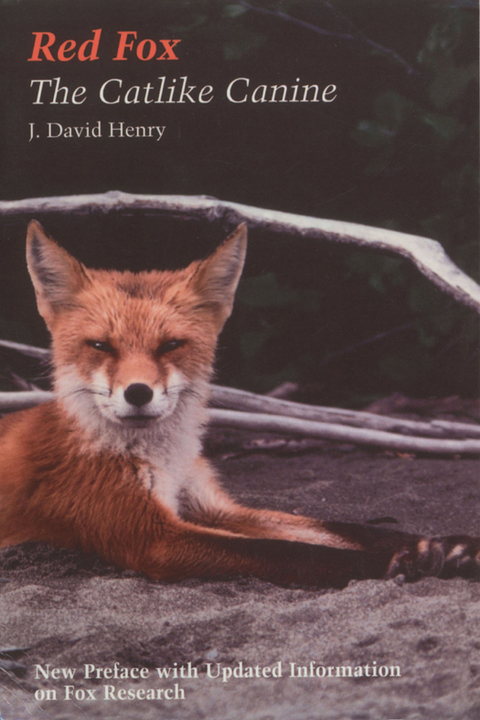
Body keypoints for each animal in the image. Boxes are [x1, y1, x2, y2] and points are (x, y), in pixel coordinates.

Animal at [0, 219, 478, 587]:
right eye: (100, 346)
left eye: (171, 345)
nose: (138, 393)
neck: (164, 461)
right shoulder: (151, 536)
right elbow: (288, 552)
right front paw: (387, 563)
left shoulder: (210, 505)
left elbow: (335, 527)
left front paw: (443, 546)